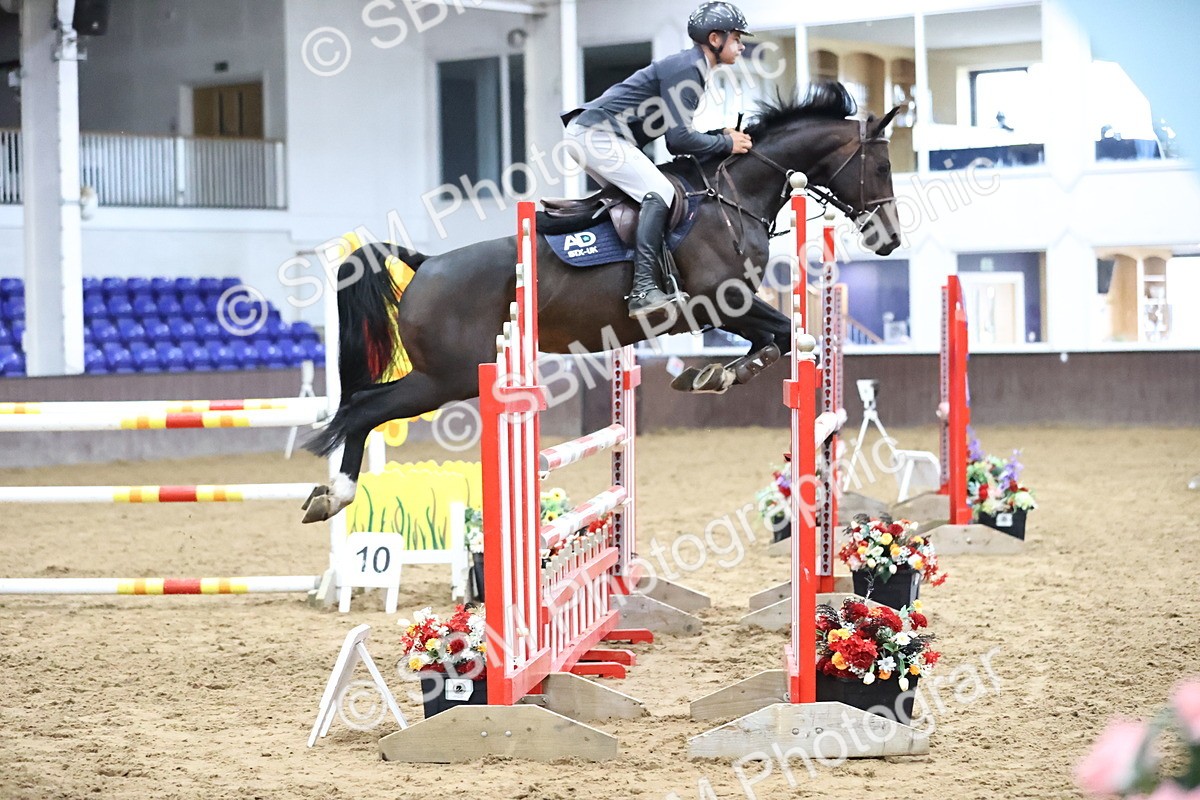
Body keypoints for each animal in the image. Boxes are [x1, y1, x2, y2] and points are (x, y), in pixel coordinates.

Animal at [300, 82, 903, 523]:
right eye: (882, 167)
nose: (890, 239)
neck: (733, 198)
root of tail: (425, 263)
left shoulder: (724, 308)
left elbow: (779, 341)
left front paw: (712, 375)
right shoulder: (720, 299)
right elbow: (788, 334)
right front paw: (717, 375)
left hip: (444, 376)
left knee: (361, 406)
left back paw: (328, 496)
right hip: (448, 377)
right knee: (361, 408)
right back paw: (336, 495)